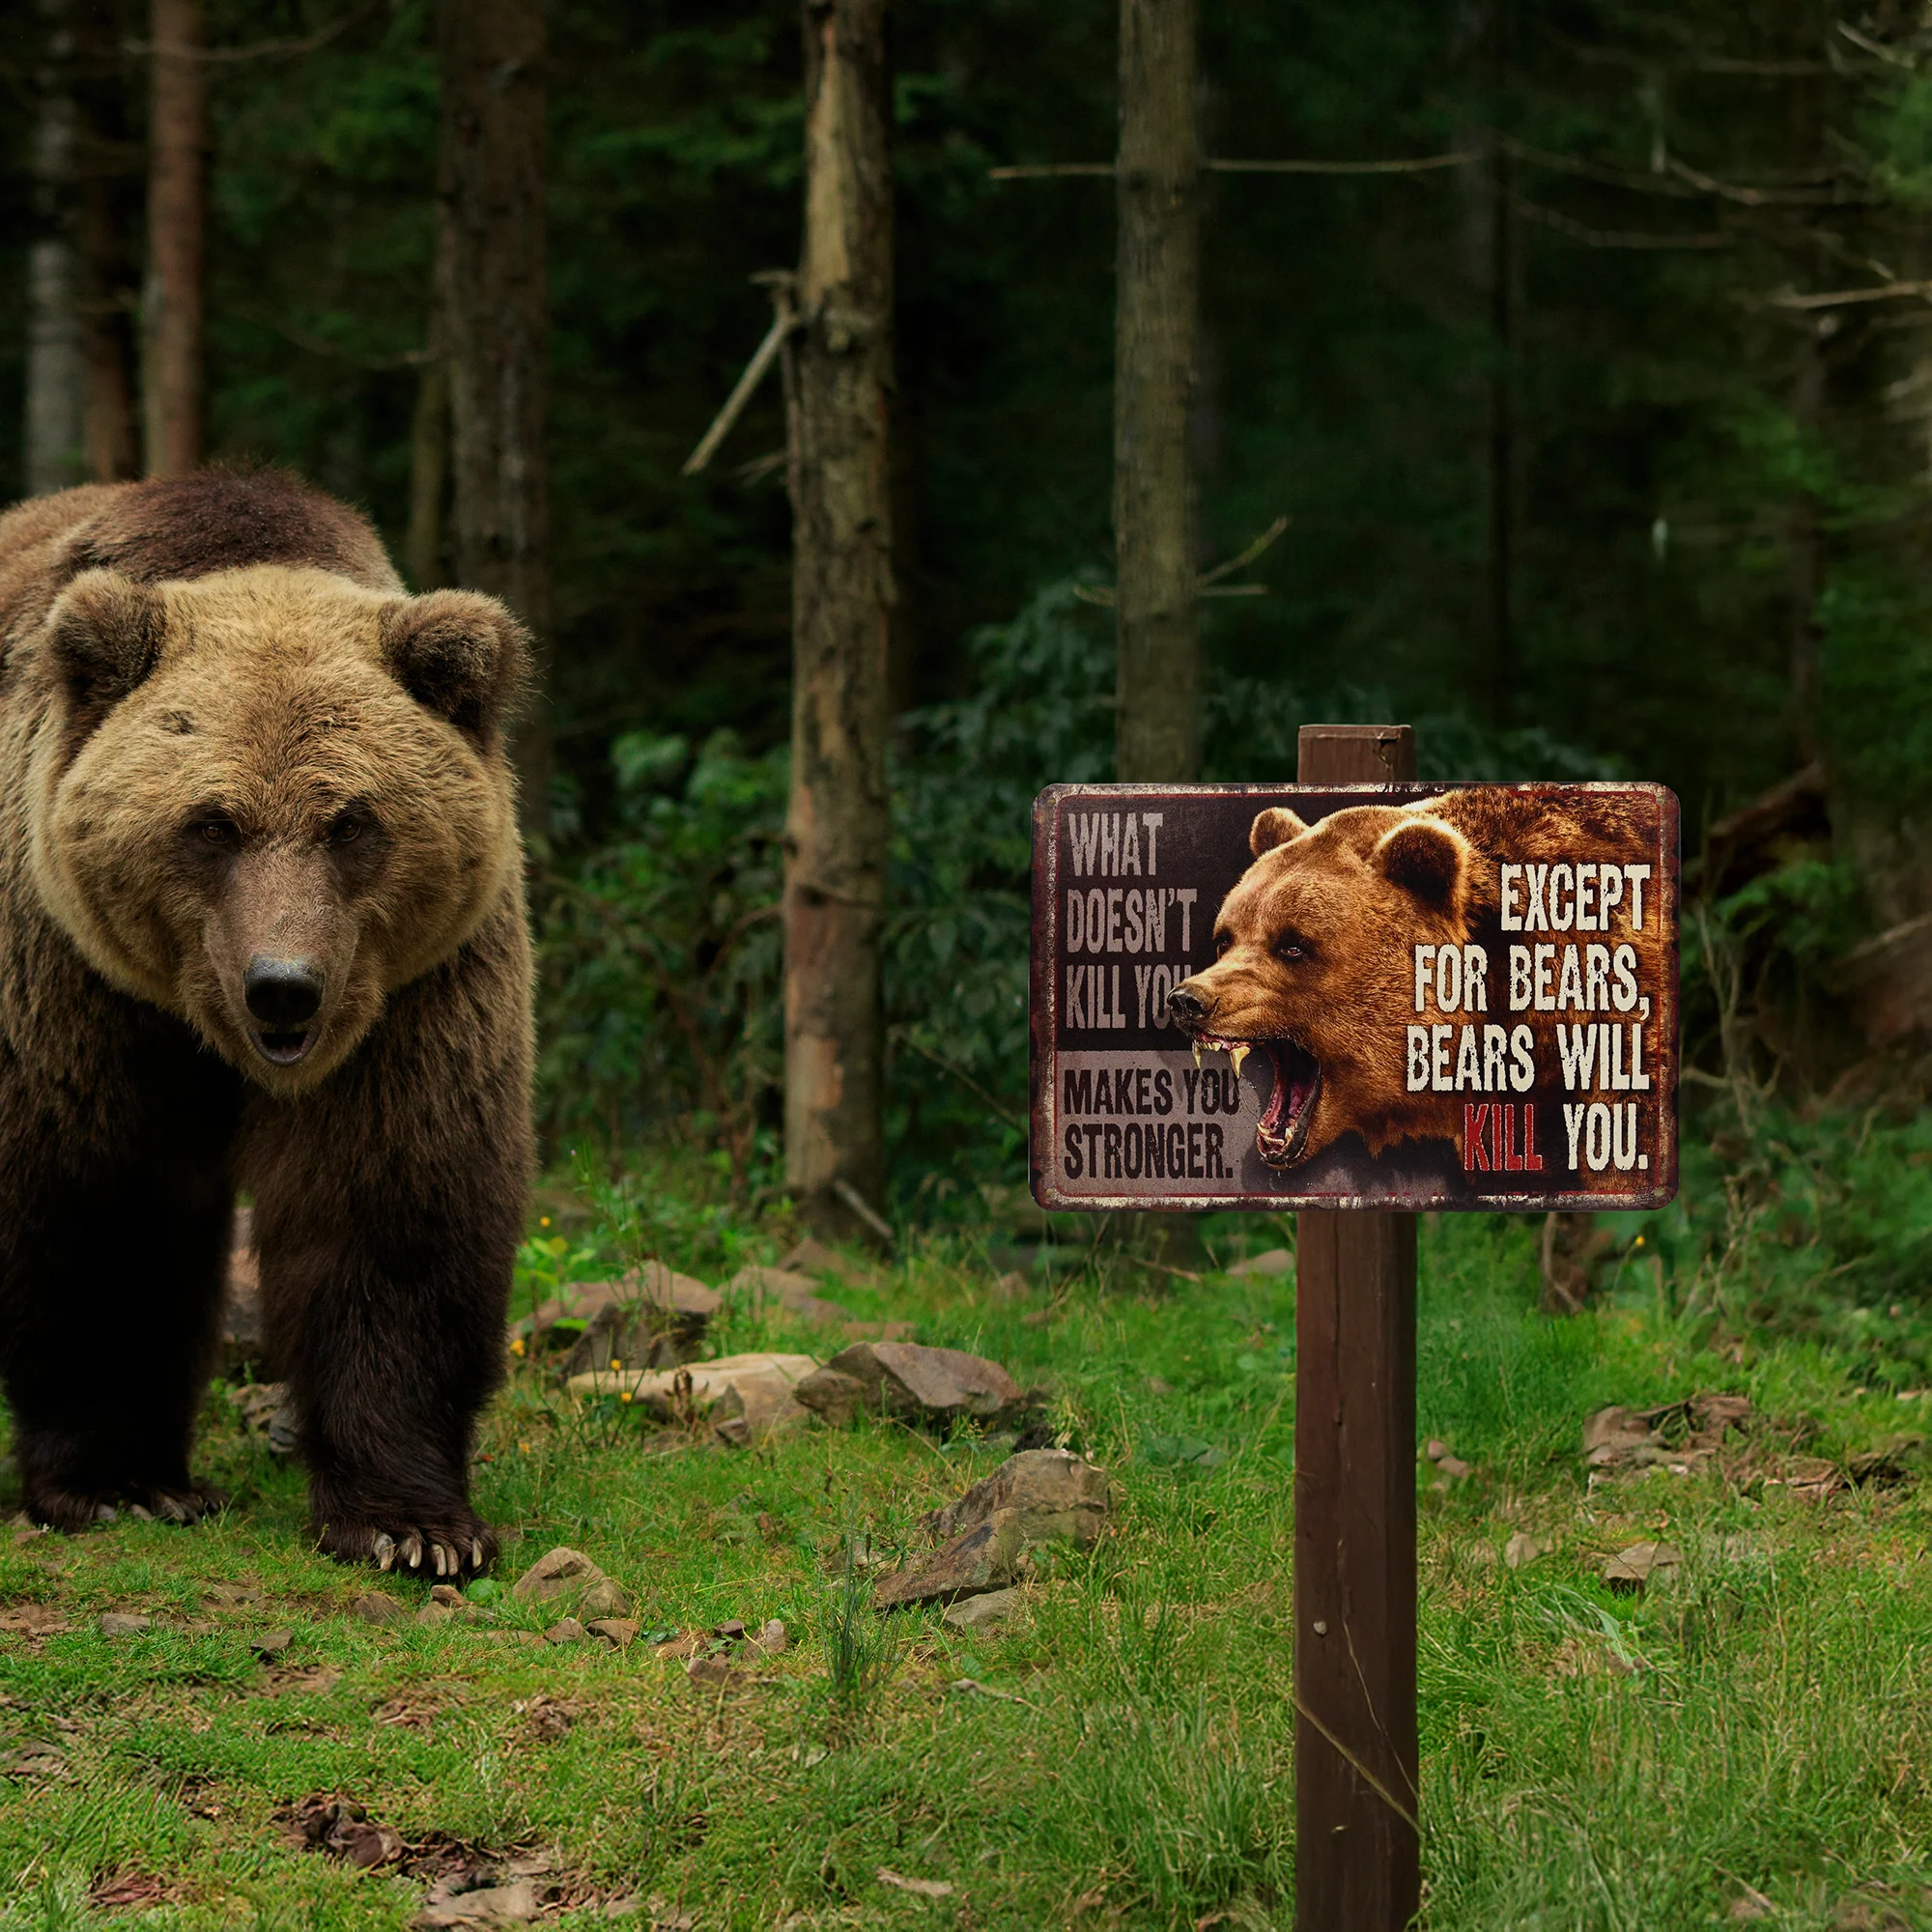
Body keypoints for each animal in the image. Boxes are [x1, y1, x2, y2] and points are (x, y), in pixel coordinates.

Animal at [0, 470, 533, 1576]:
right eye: (212, 823)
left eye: (352, 821)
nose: (282, 988)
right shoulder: (80, 983)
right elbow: (98, 1200)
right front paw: (119, 1483)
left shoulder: (408, 996)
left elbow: (391, 1204)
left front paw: (412, 1525)